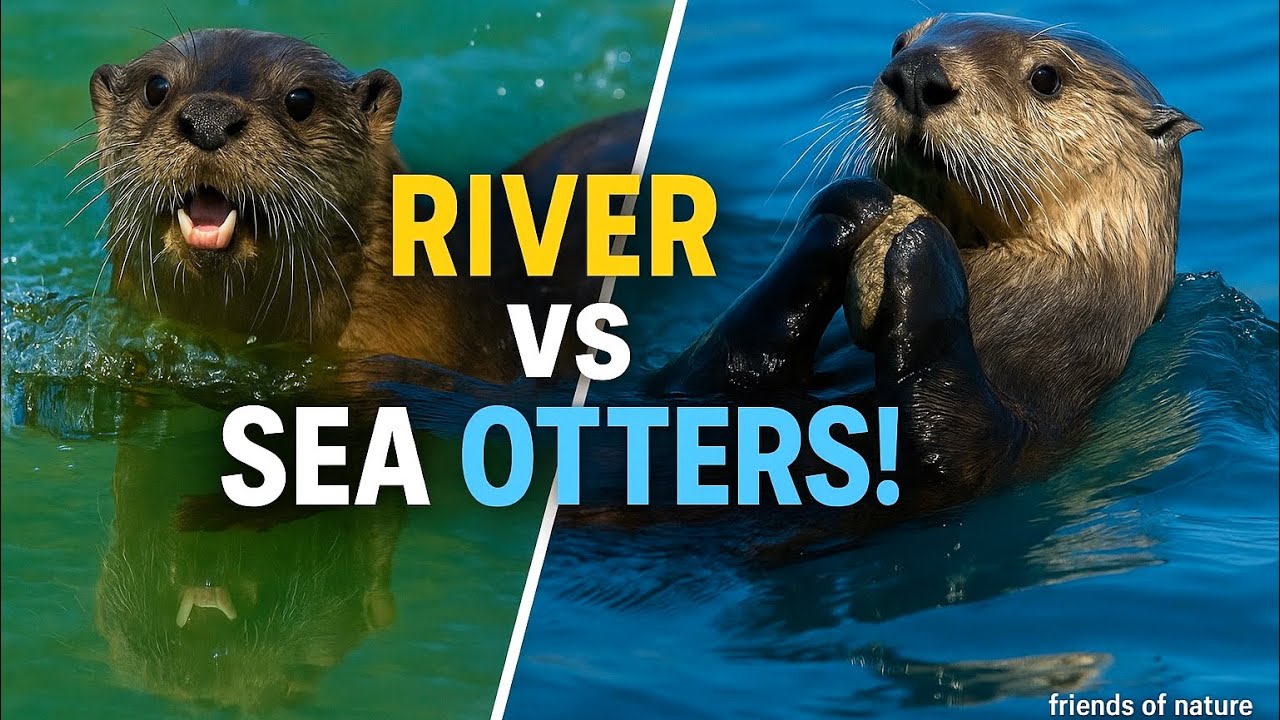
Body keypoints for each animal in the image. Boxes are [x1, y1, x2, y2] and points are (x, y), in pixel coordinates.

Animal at [654, 13, 1198, 517]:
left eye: (1046, 77)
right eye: (899, 43)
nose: (916, 73)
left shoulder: (1049, 407)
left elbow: (951, 450)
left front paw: (924, 246)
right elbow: (700, 376)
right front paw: (849, 204)